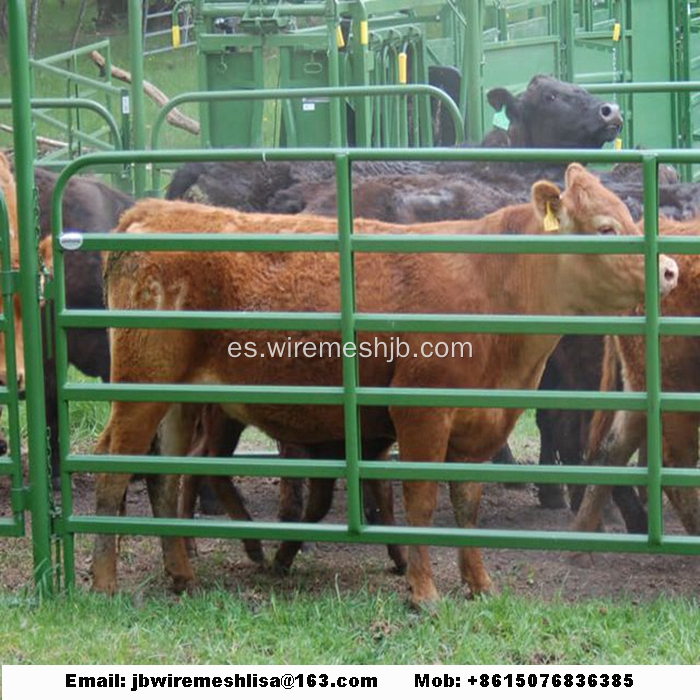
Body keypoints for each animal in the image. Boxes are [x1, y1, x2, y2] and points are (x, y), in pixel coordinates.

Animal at [93, 165, 680, 608]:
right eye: (607, 228)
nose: (672, 270)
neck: (494, 281)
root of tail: (152, 212)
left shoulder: (478, 426)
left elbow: (466, 506)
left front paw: (479, 584)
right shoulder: (421, 415)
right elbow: (420, 501)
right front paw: (424, 592)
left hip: (178, 400)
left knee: (165, 475)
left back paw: (183, 574)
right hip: (141, 388)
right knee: (113, 469)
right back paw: (105, 582)